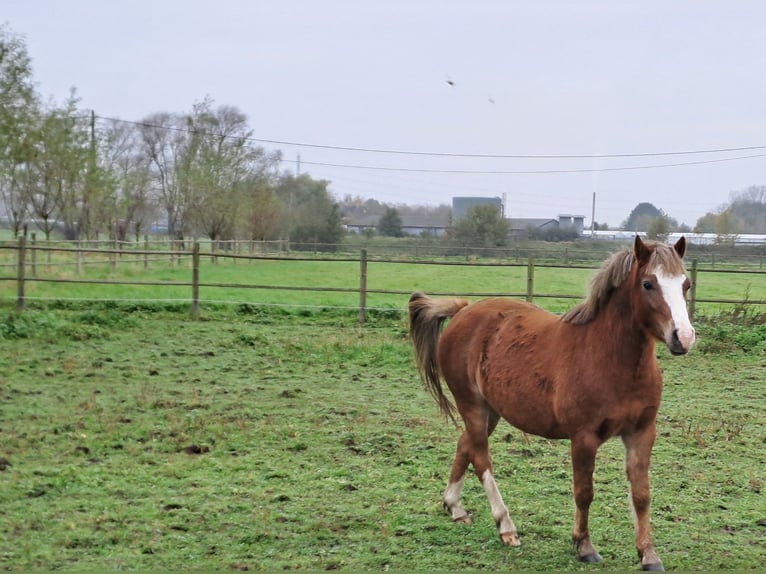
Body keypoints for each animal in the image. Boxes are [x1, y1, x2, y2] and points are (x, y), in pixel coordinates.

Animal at [412, 237, 700, 572]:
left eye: (686, 284)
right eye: (648, 284)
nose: (684, 337)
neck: (610, 358)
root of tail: (464, 310)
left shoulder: (642, 432)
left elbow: (641, 495)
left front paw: (648, 555)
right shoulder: (584, 438)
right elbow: (584, 492)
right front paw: (584, 546)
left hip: (490, 411)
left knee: (465, 446)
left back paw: (455, 507)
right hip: (471, 404)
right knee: (482, 459)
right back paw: (506, 526)